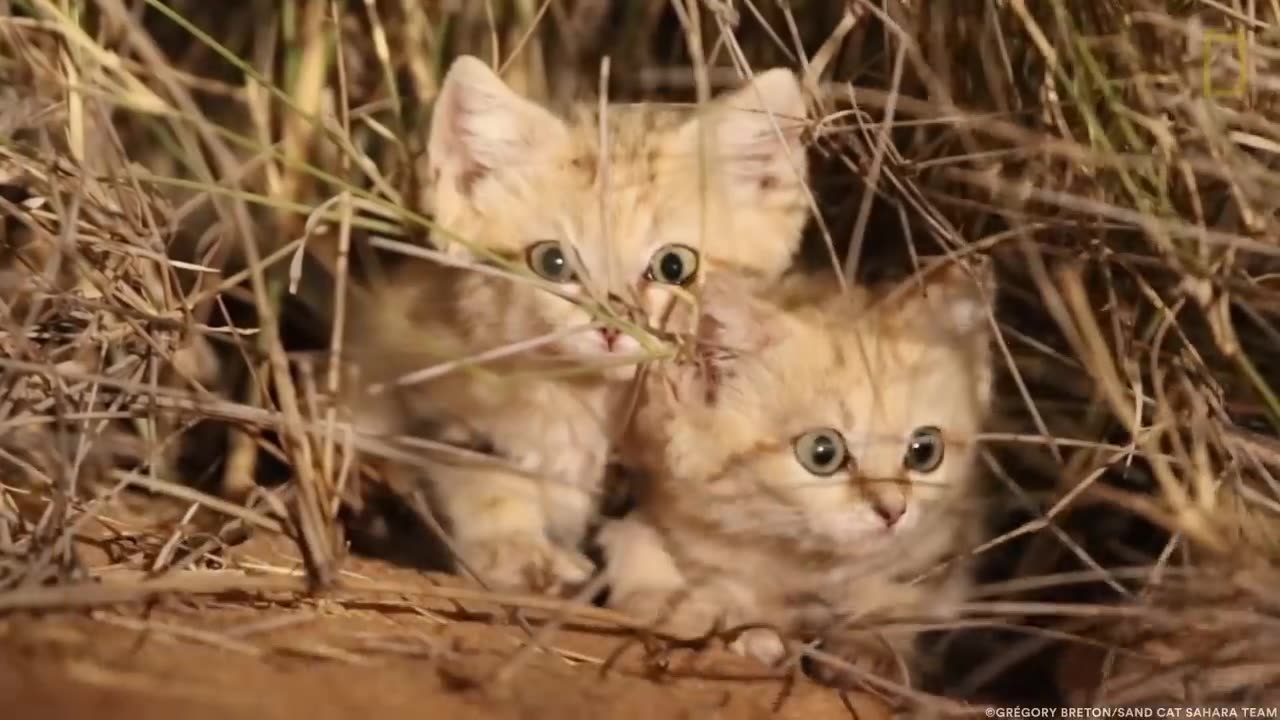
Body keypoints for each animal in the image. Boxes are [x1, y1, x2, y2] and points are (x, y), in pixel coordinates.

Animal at [345, 57, 808, 594]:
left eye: (674, 266)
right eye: (552, 262)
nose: (611, 327)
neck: (591, 405)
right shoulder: (427, 391)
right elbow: (482, 475)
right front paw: (516, 549)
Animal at [599, 260, 998, 686]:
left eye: (925, 451)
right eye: (822, 453)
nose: (893, 511)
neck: (806, 566)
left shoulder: (941, 547)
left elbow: (904, 601)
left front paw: (869, 650)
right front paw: (741, 630)